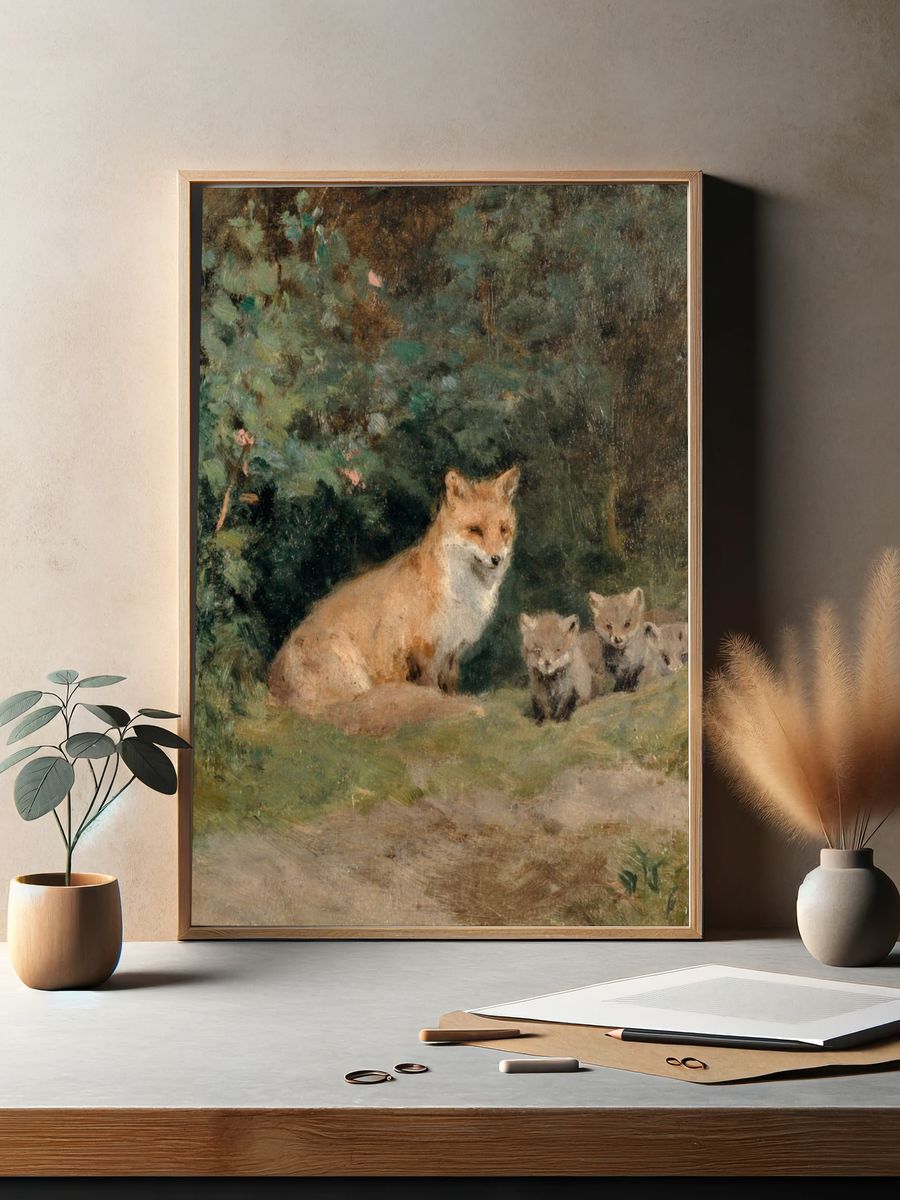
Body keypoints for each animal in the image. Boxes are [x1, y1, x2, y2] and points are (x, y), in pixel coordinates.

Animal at [268, 466, 520, 734]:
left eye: (503, 530)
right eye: (475, 530)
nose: (496, 559)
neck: (462, 596)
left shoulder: (452, 653)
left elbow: (449, 689)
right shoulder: (425, 653)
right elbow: (433, 691)